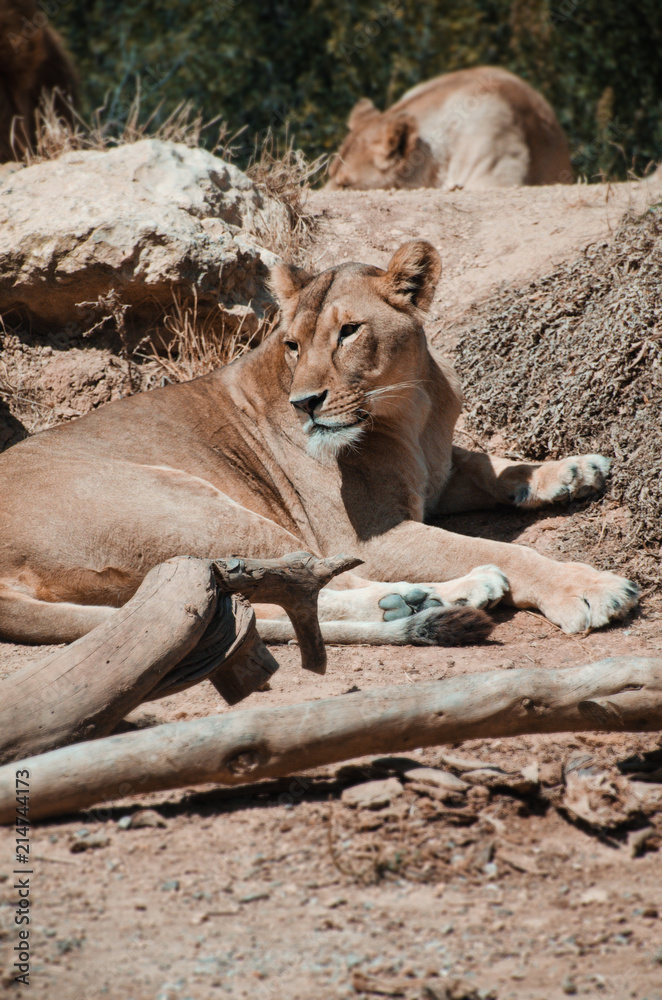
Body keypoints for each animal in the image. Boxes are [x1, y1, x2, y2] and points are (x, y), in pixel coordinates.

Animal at [0, 240, 638, 649]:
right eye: (292, 344)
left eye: (349, 331)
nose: (304, 403)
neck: (412, 410)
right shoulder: (369, 535)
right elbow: (500, 548)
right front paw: (588, 589)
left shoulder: (436, 474)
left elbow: (490, 466)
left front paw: (573, 470)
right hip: (186, 503)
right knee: (293, 581)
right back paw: (445, 594)